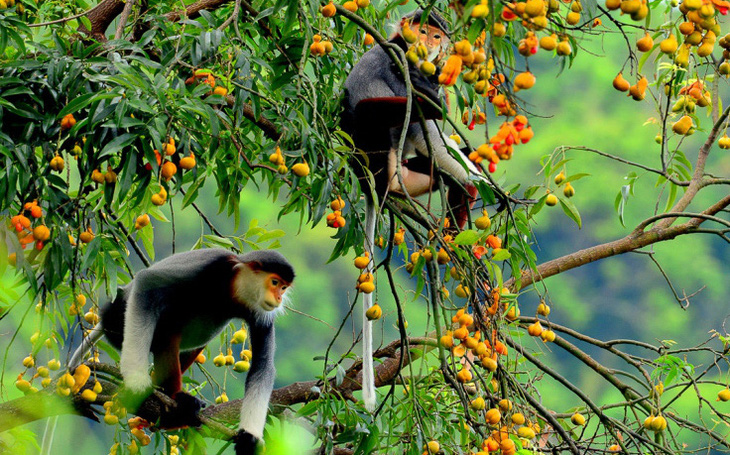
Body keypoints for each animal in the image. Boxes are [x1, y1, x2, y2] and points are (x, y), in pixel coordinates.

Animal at [68, 249, 294, 455]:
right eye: (275, 283)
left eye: (284, 287)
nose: (279, 297)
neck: (234, 291)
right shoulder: (212, 265)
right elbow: (147, 281)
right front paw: (136, 379)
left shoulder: (261, 314)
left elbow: (262, 367)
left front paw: (250, 437)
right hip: (118, 320)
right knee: (166, 326)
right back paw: (175, 401)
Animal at [340, 8, 480, 414]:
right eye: (421, 30)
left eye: (436, 34)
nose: (429, 43)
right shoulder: (398, 60)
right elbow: (424, 120)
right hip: (374, 149)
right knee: (388, 109)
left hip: (411, 173)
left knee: (441, 172)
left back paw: (456, 225)